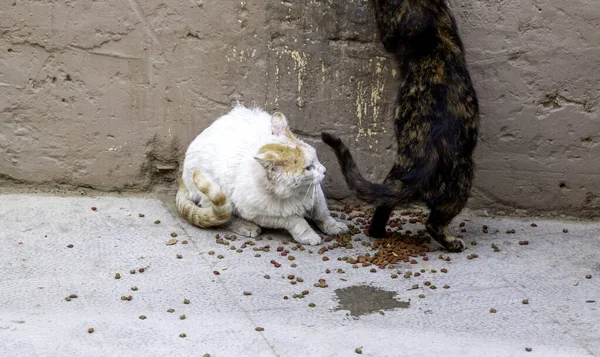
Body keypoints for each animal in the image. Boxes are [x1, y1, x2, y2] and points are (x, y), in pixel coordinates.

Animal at [176, 104, 346, 243]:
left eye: (316, 158)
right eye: (308, 168)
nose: (324, 171)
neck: (295, 192)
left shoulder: (315, 194)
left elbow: (322, 212)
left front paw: (334, 226)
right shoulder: (260, 213)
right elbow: (295, 220)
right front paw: (307, 235)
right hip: (213, 192)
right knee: (224, 216)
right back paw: (246, 226)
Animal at [322, 0, 480, 252]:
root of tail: (426, 160)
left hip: (396, 174)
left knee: (383, 204)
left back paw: (377, 232)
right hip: (461, 179)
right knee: (434, 222)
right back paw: (452, 242)